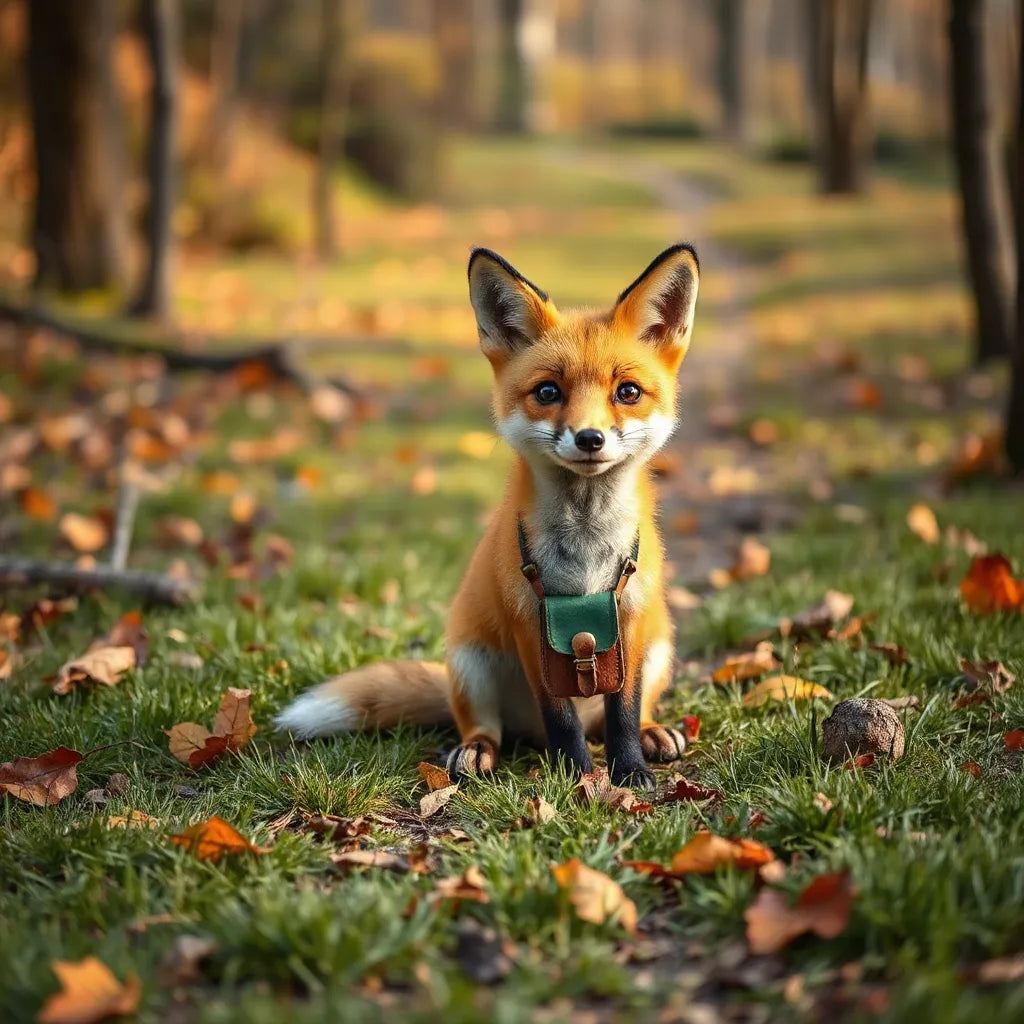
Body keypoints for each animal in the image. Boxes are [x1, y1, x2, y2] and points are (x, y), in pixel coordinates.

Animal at [276, 243, 700, 788]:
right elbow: (561, 718)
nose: (590, 438)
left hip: (659, 646)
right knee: (487, 727)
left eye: (627, 392)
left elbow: (623, 712)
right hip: (470, 662)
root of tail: (527, 736)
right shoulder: (530, 627)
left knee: (627, 714)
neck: (584, 549)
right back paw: (477, 751)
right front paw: (576, 776)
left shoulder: (629, 622)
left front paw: (629, 773)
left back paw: (652, 733)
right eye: (547, 392)